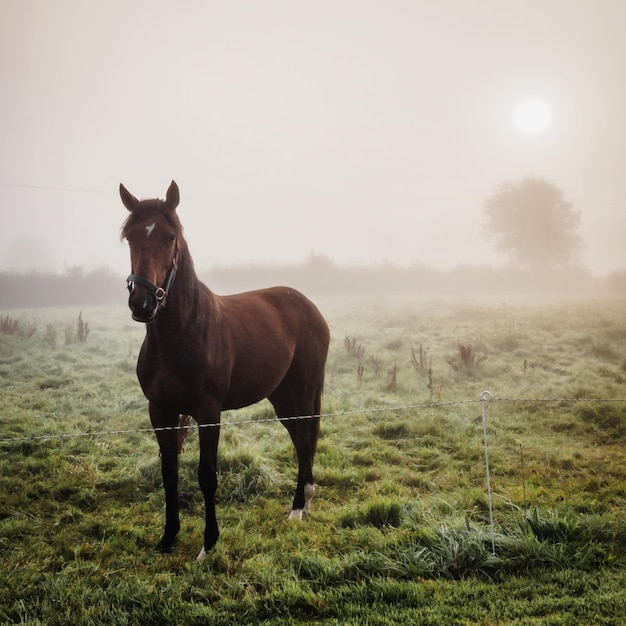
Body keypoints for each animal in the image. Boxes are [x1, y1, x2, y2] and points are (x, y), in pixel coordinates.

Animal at [119, 179, 330, 556]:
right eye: (130, 237)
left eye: (170, 237)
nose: (141, 303)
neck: (183, 333)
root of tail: (308, 306)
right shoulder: (160, 411)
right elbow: (169, 472)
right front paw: (168, 537)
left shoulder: (208, 412)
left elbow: (206, 475)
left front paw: (209, 543)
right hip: (280, 398)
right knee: (298, 439)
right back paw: (305, 498)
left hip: (305, 391)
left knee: (306, 439)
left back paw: (297, 507)